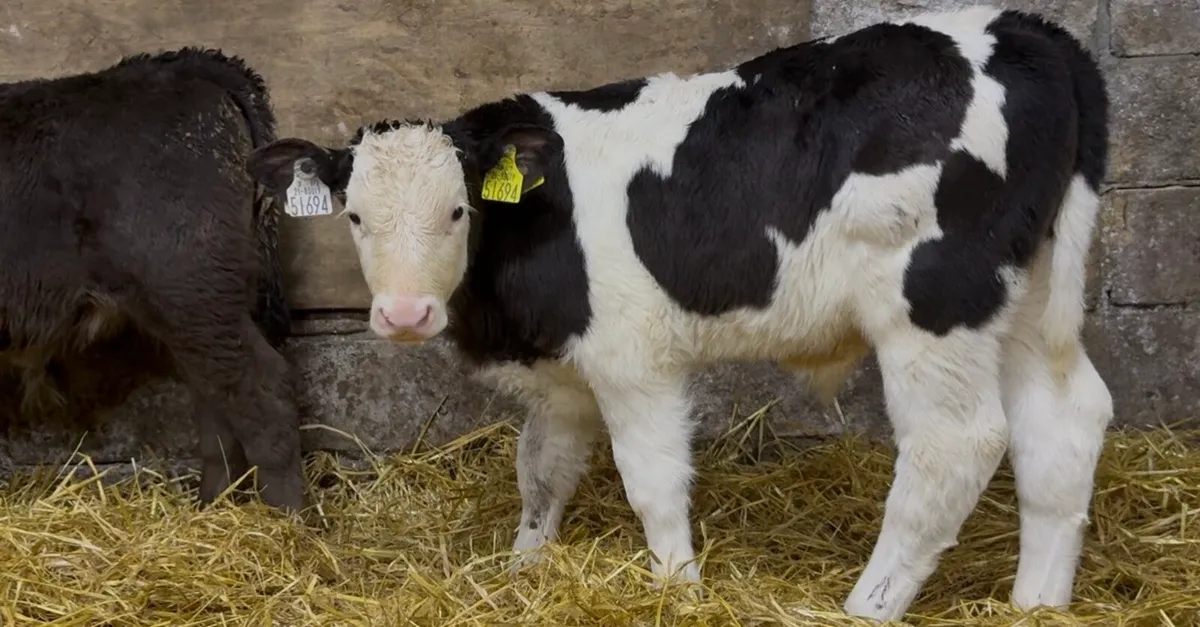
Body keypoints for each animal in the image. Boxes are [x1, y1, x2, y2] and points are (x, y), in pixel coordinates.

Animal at [0, 48, 305, 513]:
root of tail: (183, 64)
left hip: (191, 293)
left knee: (265, 394)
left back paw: (287, 522)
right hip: (204, 309)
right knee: (217, 407)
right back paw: (211, 510)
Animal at [246, 6, 1112, 620]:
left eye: (458, 210)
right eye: (355, 215)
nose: (402, 313)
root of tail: (1028, 29)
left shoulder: (633, 360)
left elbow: (652, 481)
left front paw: (676, 586)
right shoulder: (566, 367)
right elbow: (542, 470)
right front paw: (526, 567)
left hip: (934, 302)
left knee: (955, 444)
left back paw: (867, 604)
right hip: (1029, 292)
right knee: (1063, 418)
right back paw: (1037, 604)